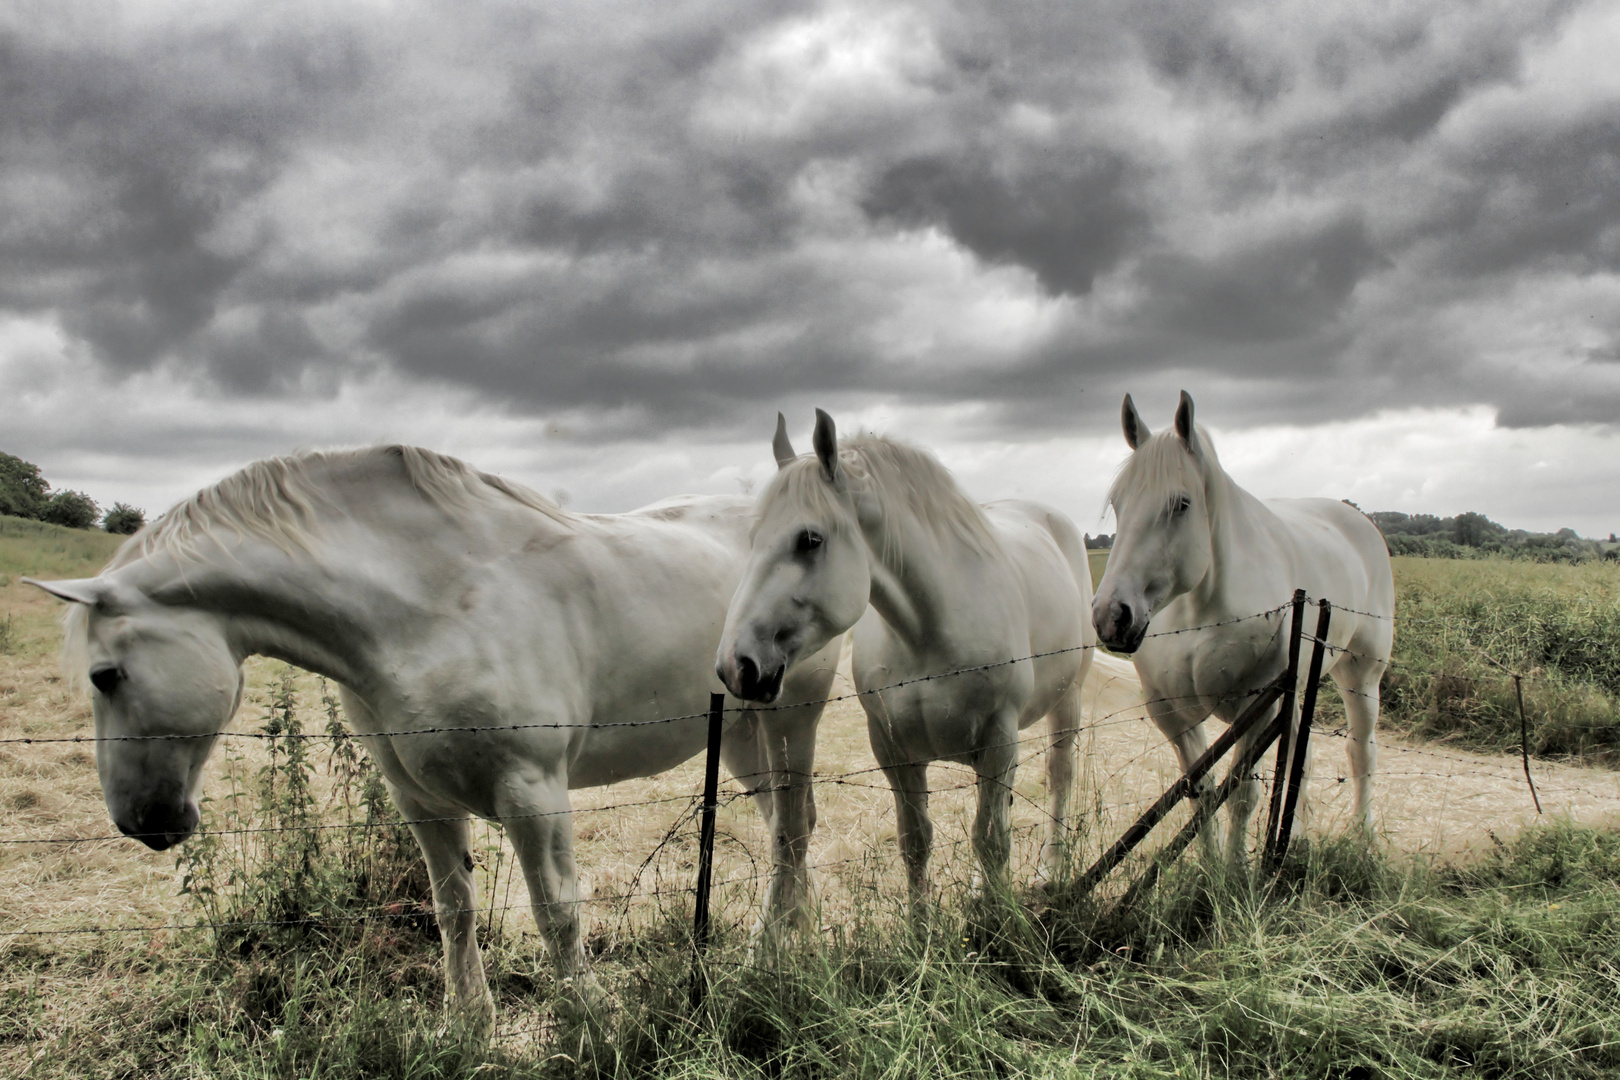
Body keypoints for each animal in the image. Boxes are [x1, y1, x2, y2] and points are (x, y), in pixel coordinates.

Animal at [716, 409, 1095, 900]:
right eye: (753, 538)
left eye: (810, 539)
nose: (736, 666)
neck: (928, 634)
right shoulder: (895, 751)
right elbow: (916, 843)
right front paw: (925, 919)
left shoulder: (998, 741)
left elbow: (991, 842)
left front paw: (998, 917)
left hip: (1069, 701)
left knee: (1059, 777)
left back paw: (1052, 868)